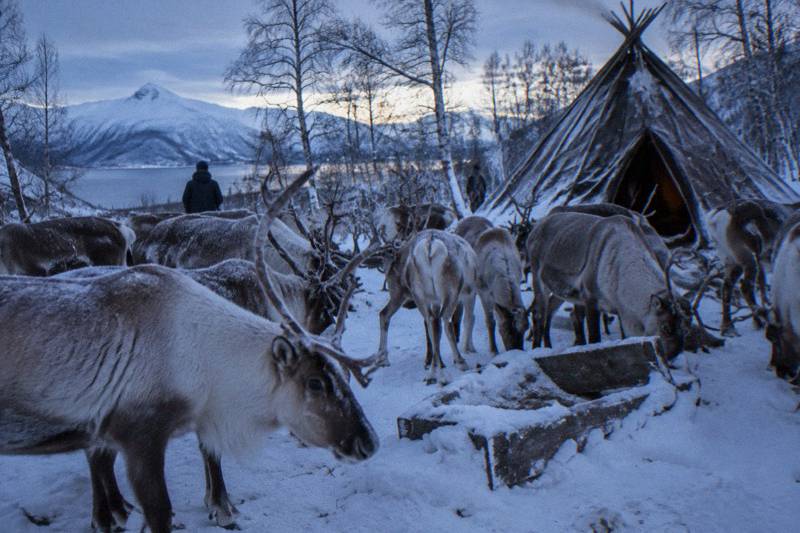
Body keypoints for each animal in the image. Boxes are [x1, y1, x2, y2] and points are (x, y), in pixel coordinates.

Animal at [376, 229, 478, 383]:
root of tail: (429, 245)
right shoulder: (470, 293)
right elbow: (469, 319)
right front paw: (469, 349)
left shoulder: (434, 302)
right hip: (451, 293)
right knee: (445, 322)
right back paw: (458, 362)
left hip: (414, 296)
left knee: (427, 323)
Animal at [528, 211, 684, 359]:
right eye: (665, 327)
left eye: (683, 327)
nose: (672, 357)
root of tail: (535, 229)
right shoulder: (590, 298)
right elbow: (595, 338)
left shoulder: (619, 310)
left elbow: (624, 337)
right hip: (538, 276)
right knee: (538, 312)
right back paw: (536, 348)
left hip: (564, 293)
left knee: (555, 310)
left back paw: (550, 346)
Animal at [706, 200, 789, 336]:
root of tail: (715, 218)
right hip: (748, 257)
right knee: (745, 286)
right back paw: (760, 322)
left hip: (732, 260)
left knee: (727, 287)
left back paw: (728, 328)